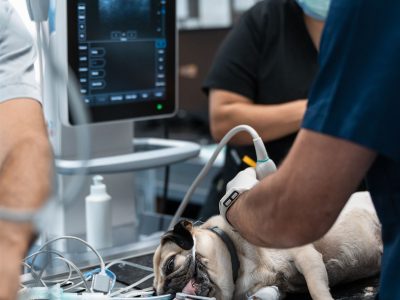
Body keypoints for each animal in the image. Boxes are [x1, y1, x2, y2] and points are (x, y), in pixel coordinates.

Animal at [152, 192, 382, 300]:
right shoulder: (273, 286)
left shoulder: (306, 257)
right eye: (156, 291)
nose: (167, 289)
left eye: (170, 265)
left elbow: (317, 290)